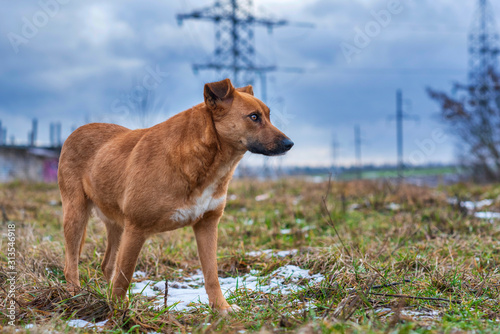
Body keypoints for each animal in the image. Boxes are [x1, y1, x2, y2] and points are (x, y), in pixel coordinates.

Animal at [58, 78, 292, 314]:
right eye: (254, 117)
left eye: (268, 116)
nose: (289, 144)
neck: (204, 162)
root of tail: (76, 131)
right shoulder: (136, 228)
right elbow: (124, 276)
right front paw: (118, 314)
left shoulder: (207, 224)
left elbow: (212, 274)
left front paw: (221, 308)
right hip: (76, 214)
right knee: (71, 264)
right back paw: (76, 297)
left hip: (117, 224)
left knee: (107, 266)